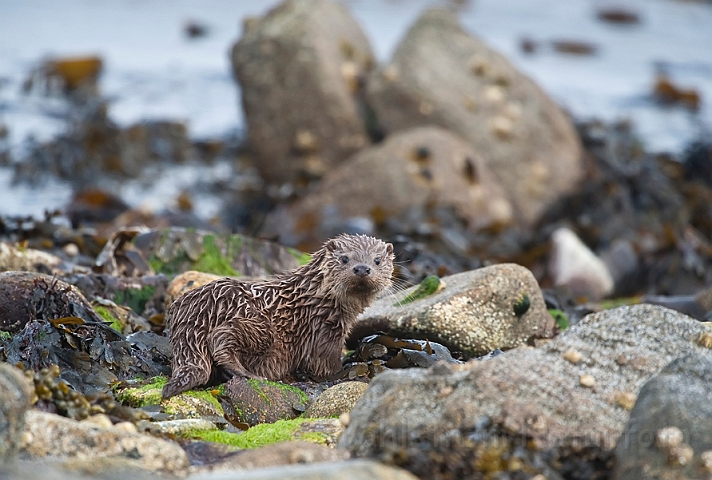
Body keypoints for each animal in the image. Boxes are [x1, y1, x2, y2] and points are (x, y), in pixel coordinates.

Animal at [163, 233, 394, 398]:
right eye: (345, 259)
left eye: (377, 260)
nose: (362, 269)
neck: (317, 300)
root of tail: (194, 313)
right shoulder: (322, 333)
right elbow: (323, 364)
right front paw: (344, 370)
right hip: (260, 327)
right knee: (220, 339)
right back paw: (250, 375)